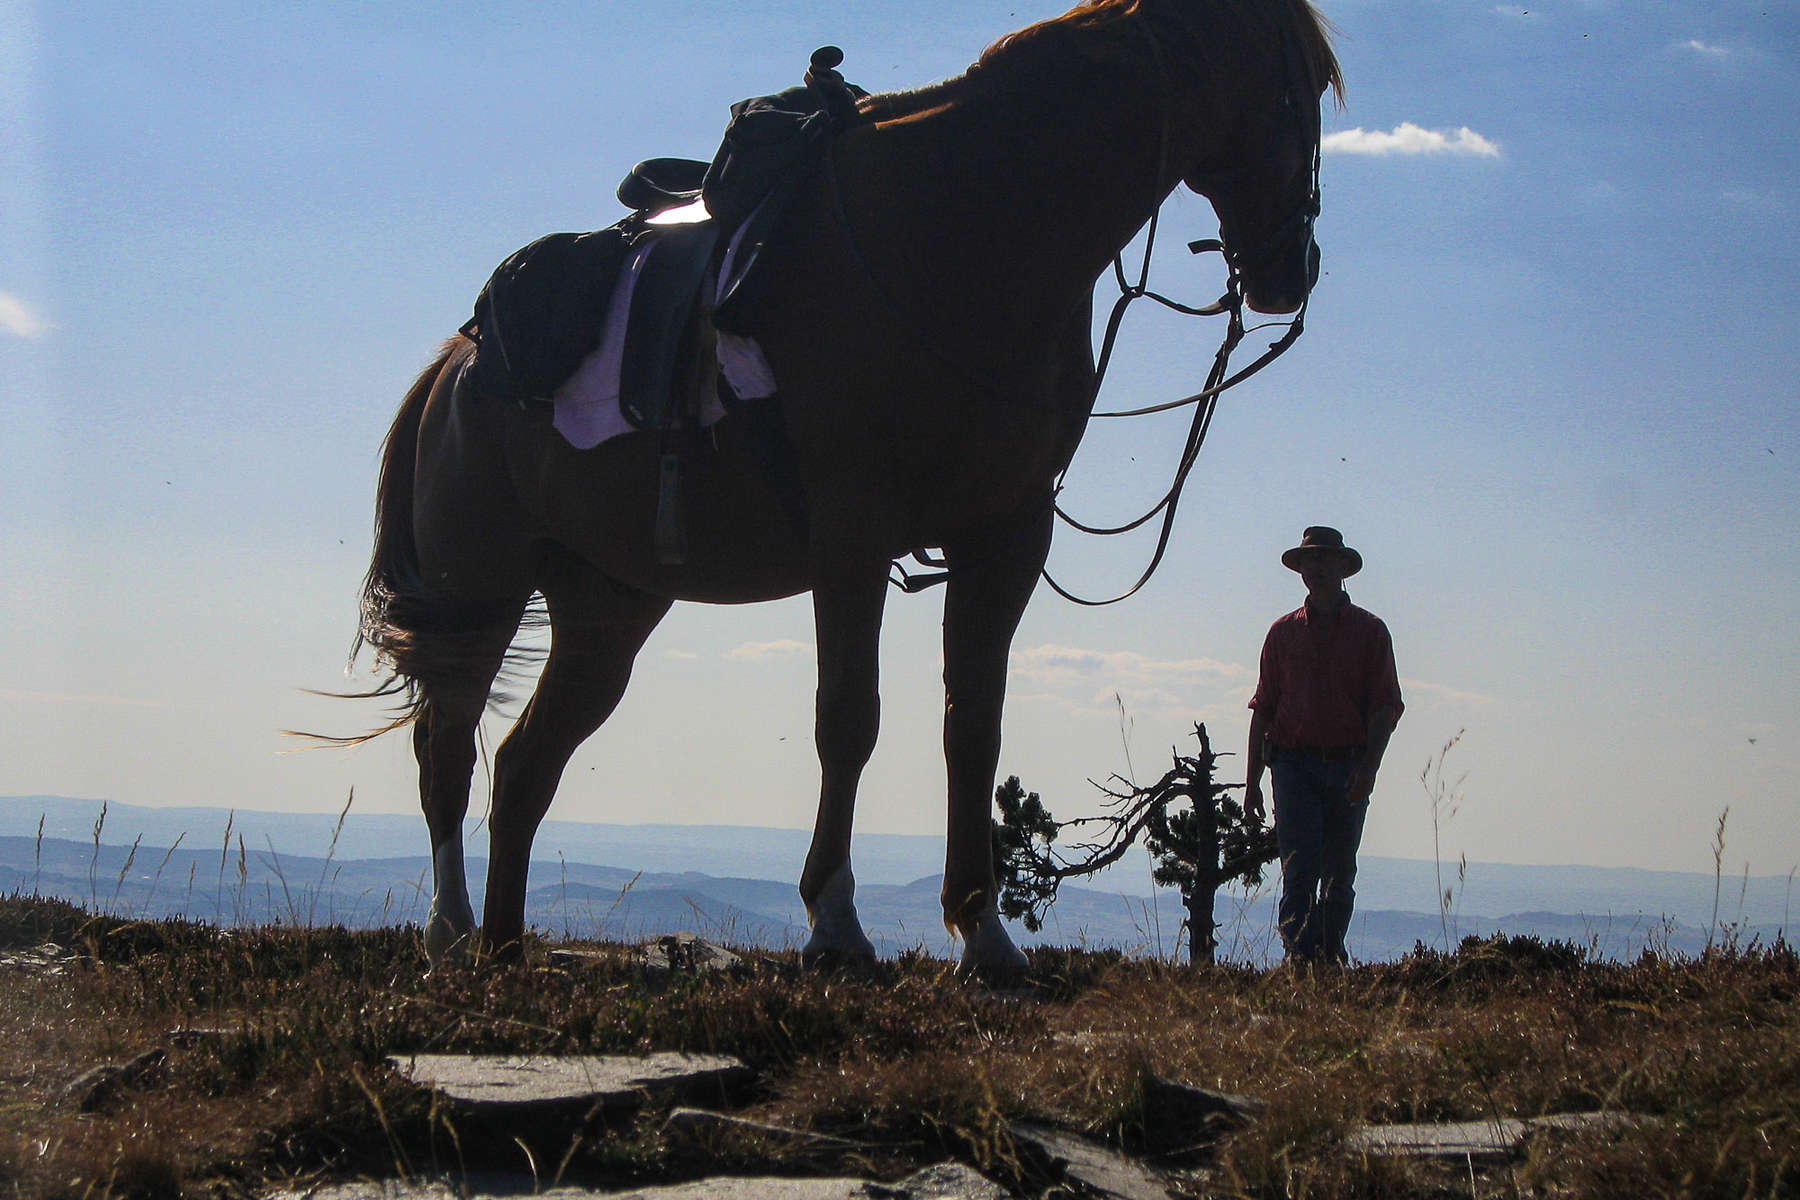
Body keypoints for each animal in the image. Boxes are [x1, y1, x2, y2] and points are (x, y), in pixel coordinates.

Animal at [354, 0, 1339, 978]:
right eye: (1306, 87)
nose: (1294, 267)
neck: (978, 229)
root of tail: (456, 365)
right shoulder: (853, 534)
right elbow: (848, 720)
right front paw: (835, 922)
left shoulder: (1007, 535)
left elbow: (973, 729)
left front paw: (983, 935)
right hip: (478, 591)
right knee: (447, 746)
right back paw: (451, 933)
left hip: (609, 607)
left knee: (526, 764)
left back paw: (506, 946)